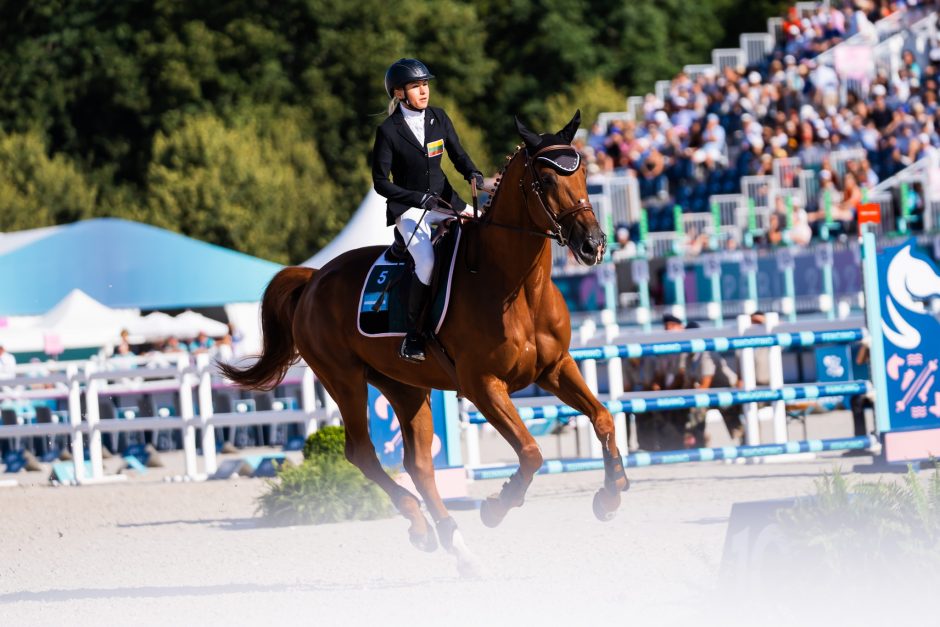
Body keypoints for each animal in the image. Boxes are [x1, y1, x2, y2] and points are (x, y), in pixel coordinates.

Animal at [220, 110, 628, 572]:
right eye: (545, 180)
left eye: (583, 176)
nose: (593, 245)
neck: (515, 286)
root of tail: (314, 278)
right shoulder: (483, 386)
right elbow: (530, 452)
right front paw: (496, 507)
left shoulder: (556, 368)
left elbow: (604, 419)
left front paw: (610, 496)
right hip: (344, 380)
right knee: (363, 453)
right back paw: (422, 525)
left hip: (404, 386)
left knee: (417, 464)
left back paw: (453, 542)